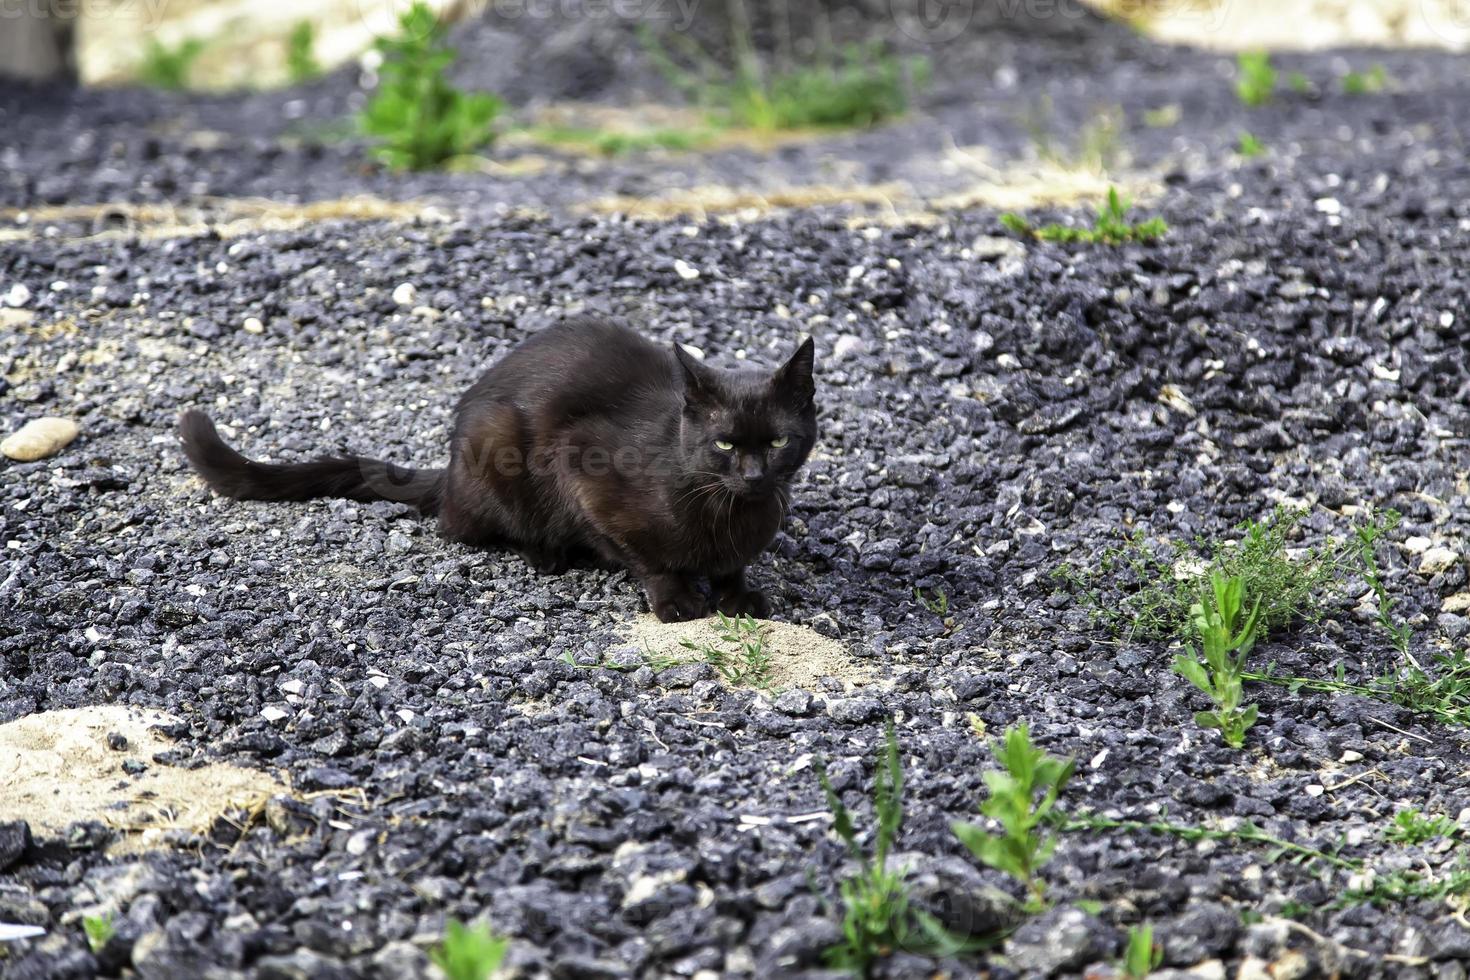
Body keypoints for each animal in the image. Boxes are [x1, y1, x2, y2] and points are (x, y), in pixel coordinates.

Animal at [180, 323, 817, 628]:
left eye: (778, 441)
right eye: (725, 443)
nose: (755, 476)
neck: (726, 507)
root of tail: (450, 465)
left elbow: (732, 563)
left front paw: (737, 594)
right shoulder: (583, 474)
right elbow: (646, 557)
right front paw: (678, 600)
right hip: (496, 443)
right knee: (461, 526)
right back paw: (543, 552)